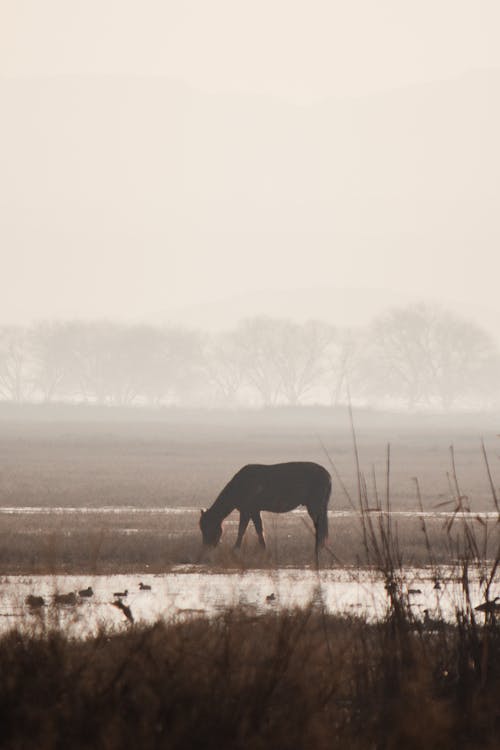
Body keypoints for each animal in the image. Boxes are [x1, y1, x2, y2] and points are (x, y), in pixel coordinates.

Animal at [199, 464, 332, 564]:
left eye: (207, 527)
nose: (206, 547)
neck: (238, 486)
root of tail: (328, 476)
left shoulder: (247, 510)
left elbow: (242, 530)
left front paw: (235, 550)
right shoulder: (254, 511)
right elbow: (258, 529)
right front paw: (263, 549)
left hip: (314, 505)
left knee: (320, 528)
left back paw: (317, 551)